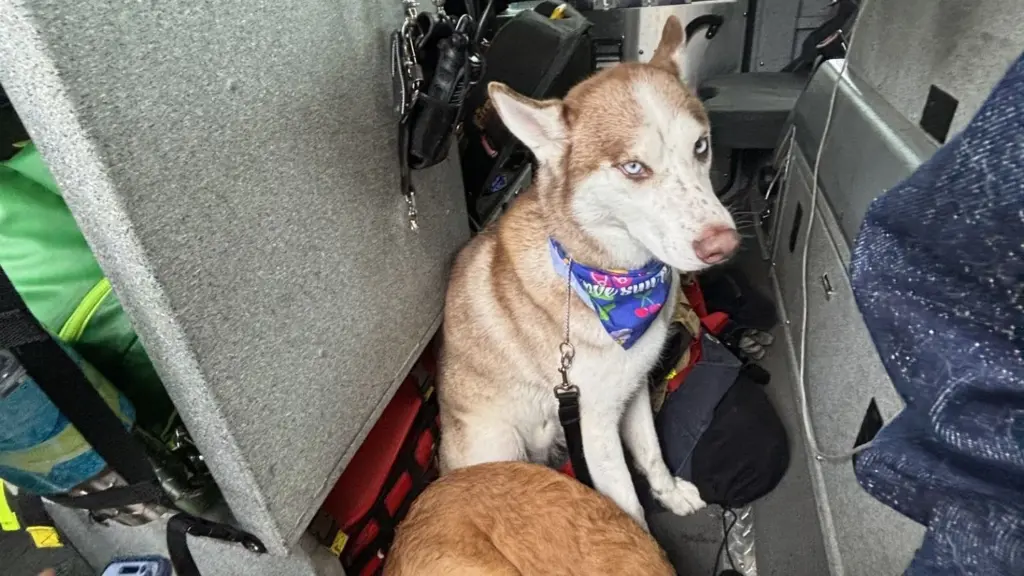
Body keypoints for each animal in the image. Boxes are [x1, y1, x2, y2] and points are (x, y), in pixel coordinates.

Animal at [437, 16, 739, 528]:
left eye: (701, 147)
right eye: (634, 167)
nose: (724, 245)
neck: (609, 281)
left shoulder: (631, 392)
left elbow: (652, 454)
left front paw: (670, 494)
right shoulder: (597, 426)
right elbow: (629, 511)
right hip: (499, 442)